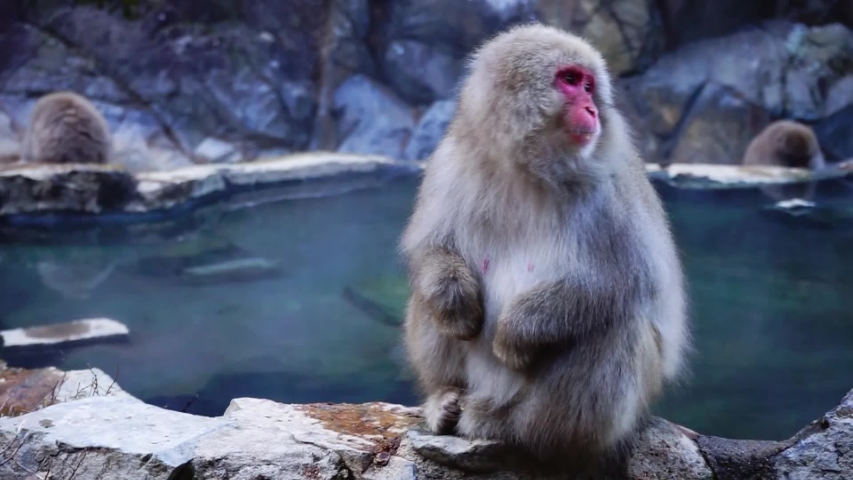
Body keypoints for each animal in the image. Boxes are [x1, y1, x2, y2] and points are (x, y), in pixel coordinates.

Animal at [400, 23, 689, 473]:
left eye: (589, 86)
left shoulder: (614, 186)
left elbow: (628, 279)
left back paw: (512, 426)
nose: (591, 108)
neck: (528, 169)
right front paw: (454, 301)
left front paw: (517, 333)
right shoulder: (449, 163)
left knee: (616, 323)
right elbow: (431, 247)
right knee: (428, 296)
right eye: (570, 80)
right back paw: (445, 397)